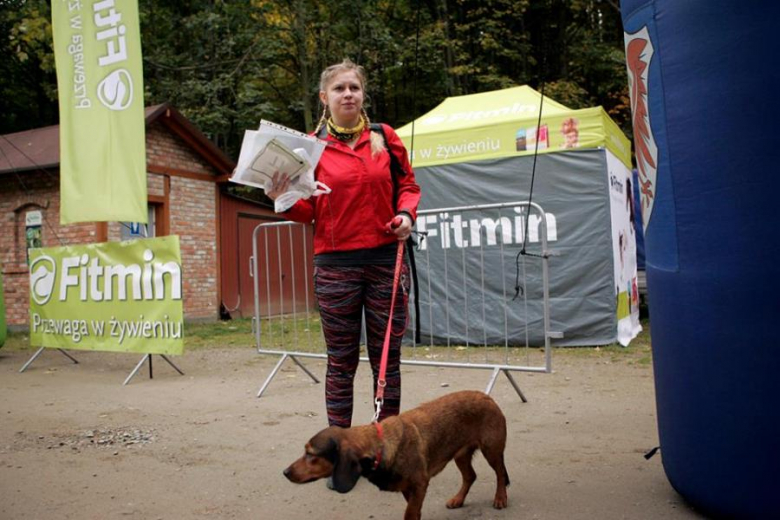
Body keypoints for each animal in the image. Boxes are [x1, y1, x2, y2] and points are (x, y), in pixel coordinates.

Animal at [284, 390, 508, 520]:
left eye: (310, 454)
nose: (285, 472)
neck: (381, 446)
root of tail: (487, 397)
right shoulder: (410, 489)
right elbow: (414, 510)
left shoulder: (419, 484)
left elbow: (410, 513)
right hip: (459, 454)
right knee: (470, 476)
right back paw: (458, 499)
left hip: (492, 450)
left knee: (499, 475)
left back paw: (500, 499)